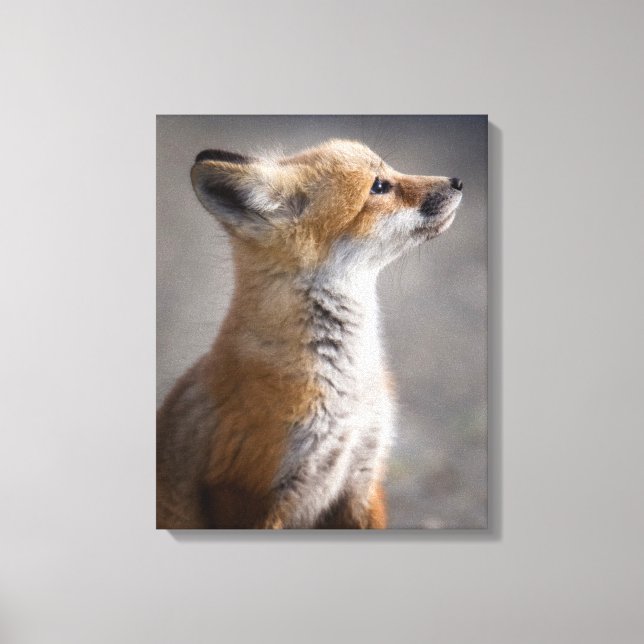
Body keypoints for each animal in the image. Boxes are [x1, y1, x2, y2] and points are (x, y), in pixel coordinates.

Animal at [157, 139, 463, 529]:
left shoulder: (364, 476)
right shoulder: (251, 494)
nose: (457, 181)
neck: (347, 394)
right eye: (379, 186)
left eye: (389, 171)